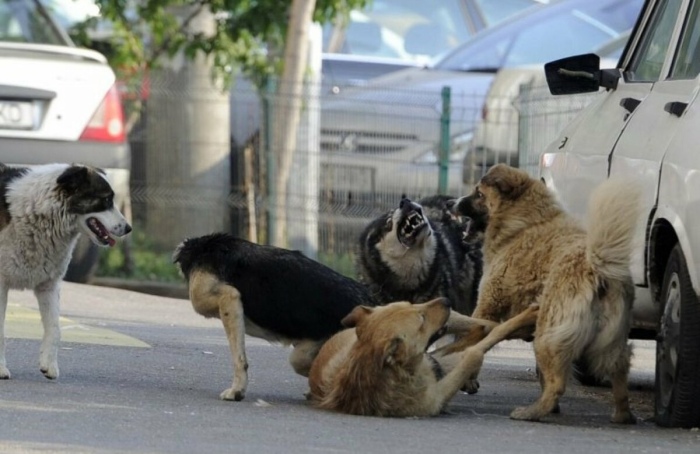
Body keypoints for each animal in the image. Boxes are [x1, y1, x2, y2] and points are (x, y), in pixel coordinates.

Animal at [0, 163, 131, 380]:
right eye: (105, 200)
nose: (128, 228)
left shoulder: (49, 286)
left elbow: (55, 328)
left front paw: (49, 365)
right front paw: (1, 368)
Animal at [308, 296, 540, 416]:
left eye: (410, 304)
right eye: (421, 320)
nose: (446, 299)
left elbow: (486, 336)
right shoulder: (438, 394)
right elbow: (475, 352)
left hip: (452, 325)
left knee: (482, 325)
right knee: (483, 332)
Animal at [442, 165, 640, 424]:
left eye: (478, 193)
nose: (449, 203)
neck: (525, 223)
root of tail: (597, 266)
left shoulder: (487, 306)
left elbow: (473, 340)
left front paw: (467, 379)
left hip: (548, 335)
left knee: (558, 383)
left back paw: (531, 412)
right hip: (609, 342)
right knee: (619, 374)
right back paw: (622, 414)